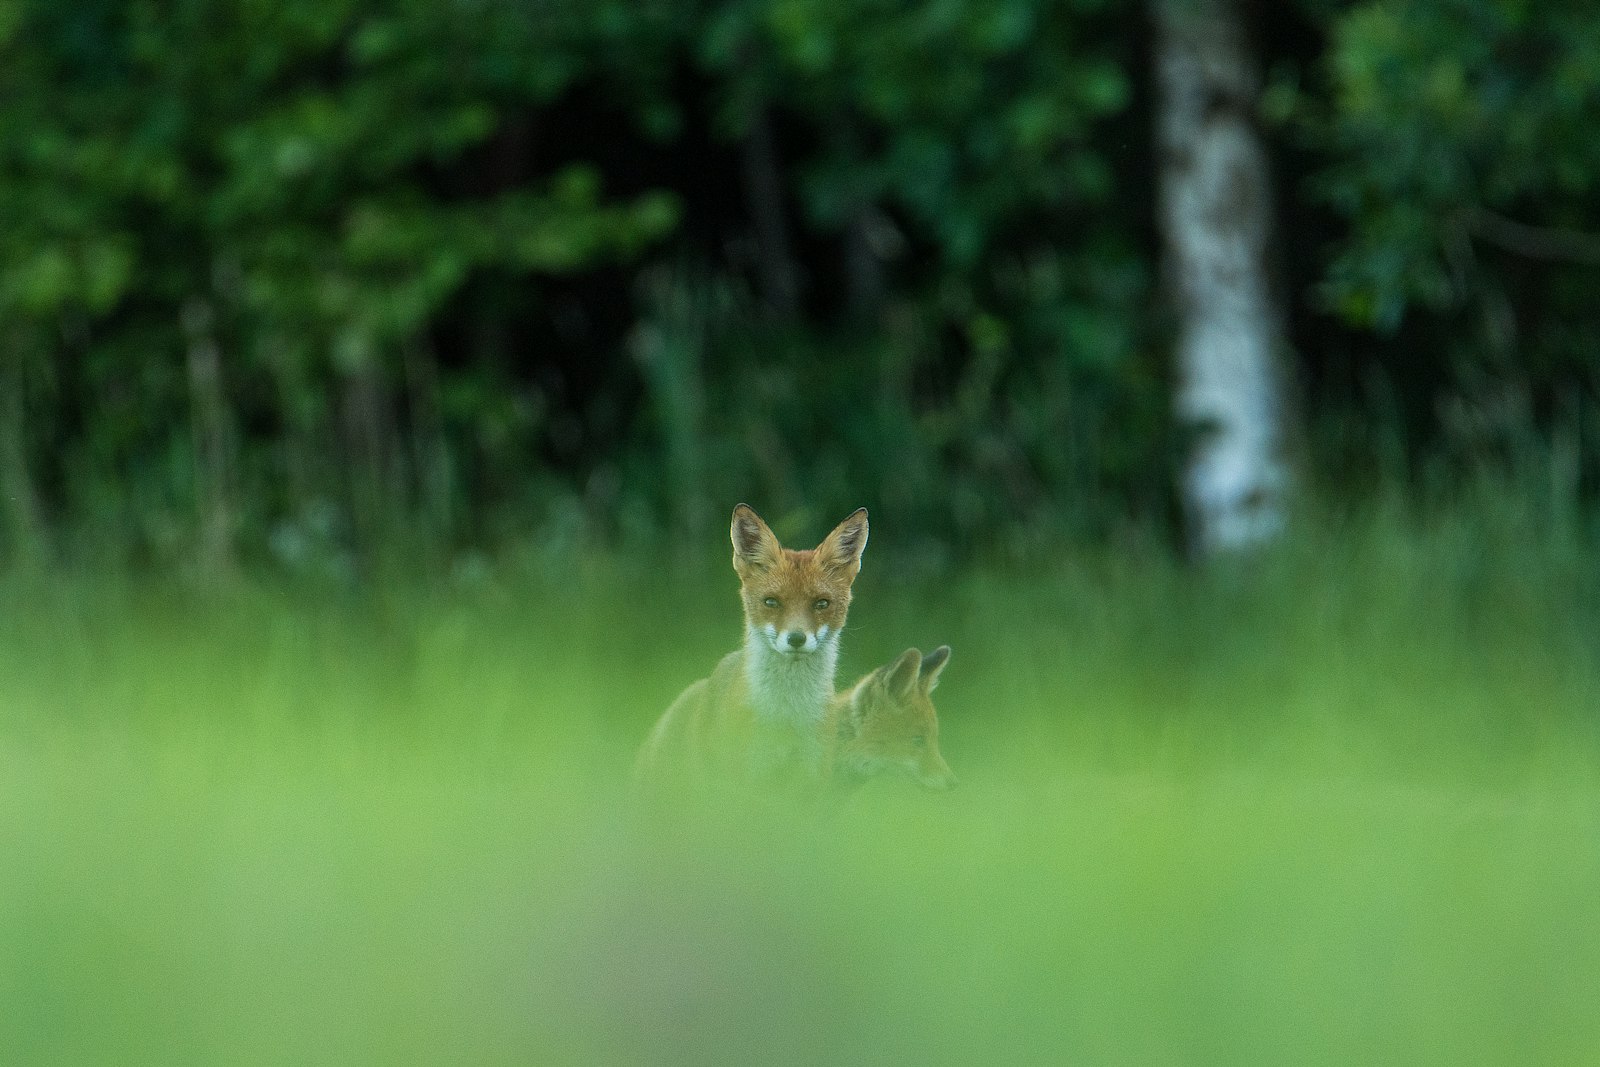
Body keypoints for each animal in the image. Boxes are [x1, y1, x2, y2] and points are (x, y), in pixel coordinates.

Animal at [630, 505, 870, 790]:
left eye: (822, 603)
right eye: (771, 602)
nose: (796, 639)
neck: (786, 715)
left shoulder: (813, 777)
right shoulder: (743, 778)